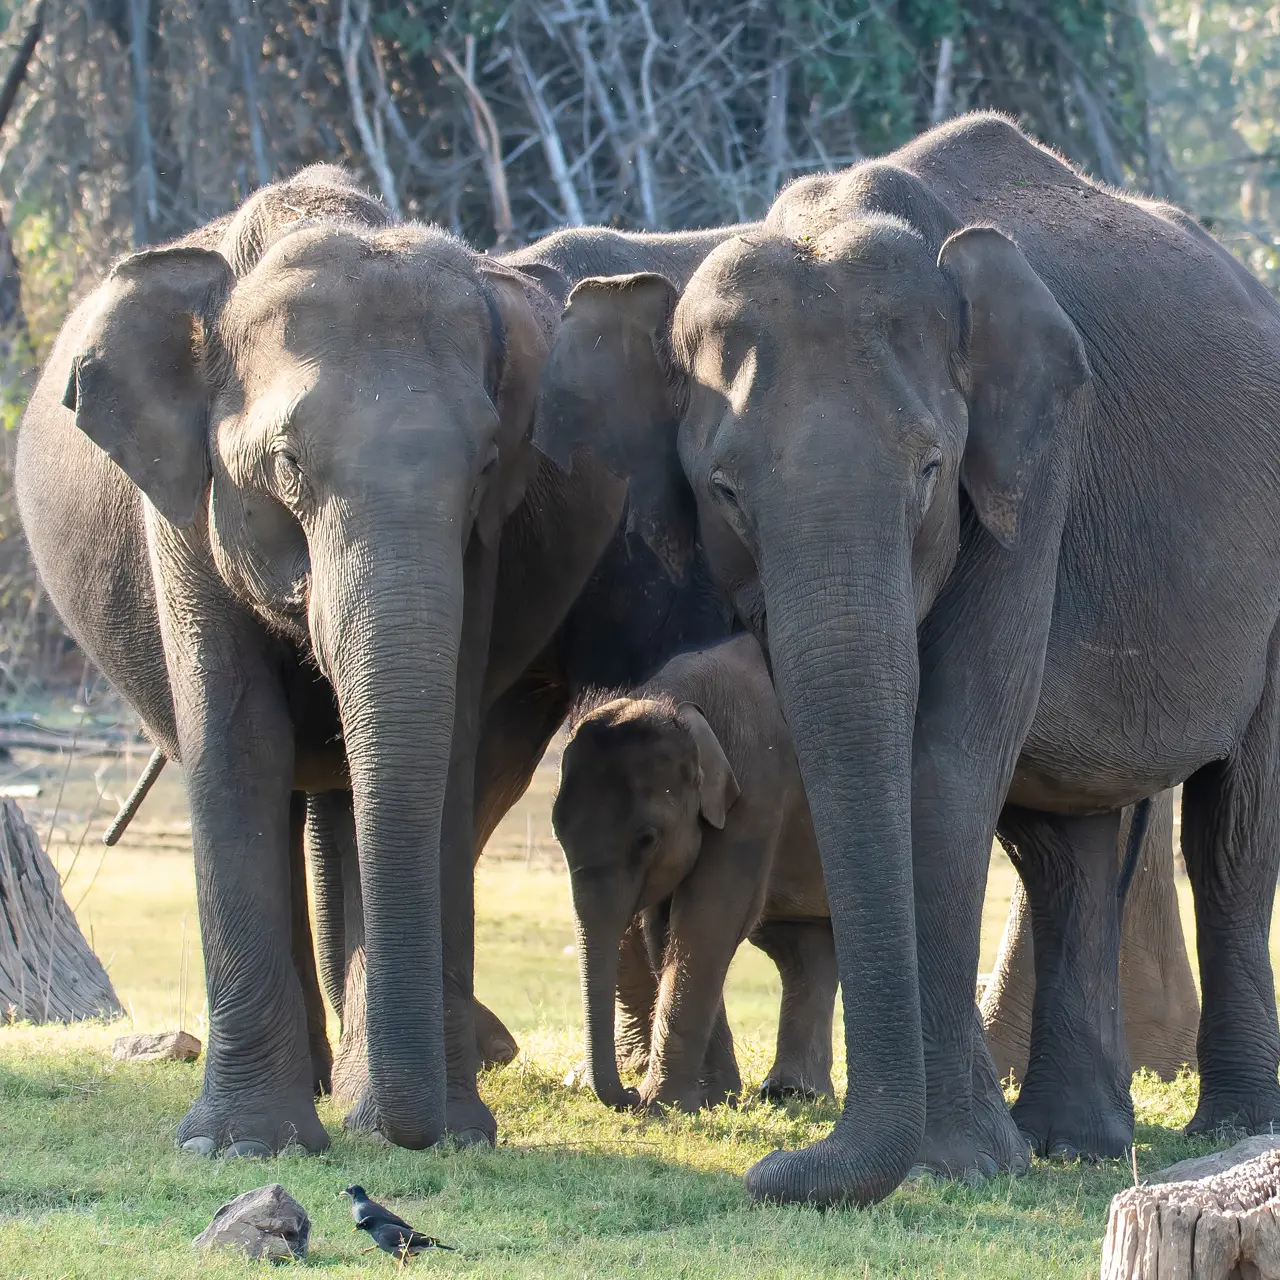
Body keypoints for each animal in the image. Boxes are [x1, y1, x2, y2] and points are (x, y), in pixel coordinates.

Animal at [15, 165, 747, 1157]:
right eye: (287, 462)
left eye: (486, 462)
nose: (407, 1137)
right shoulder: (181, 515)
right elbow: (237, 745)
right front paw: (239, 1145)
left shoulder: (483, 551)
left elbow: (448, 746)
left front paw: (454, 1128)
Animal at [555, 632, 834, 1111]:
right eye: (557, 833)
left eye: (647, 839)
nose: (627, 1093)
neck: (672, 697)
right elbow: (665, 928)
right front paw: (709, 1098)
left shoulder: (758, 784)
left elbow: (709, 917)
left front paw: (661, 1106)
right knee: (806, 946)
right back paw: (793, 1094)